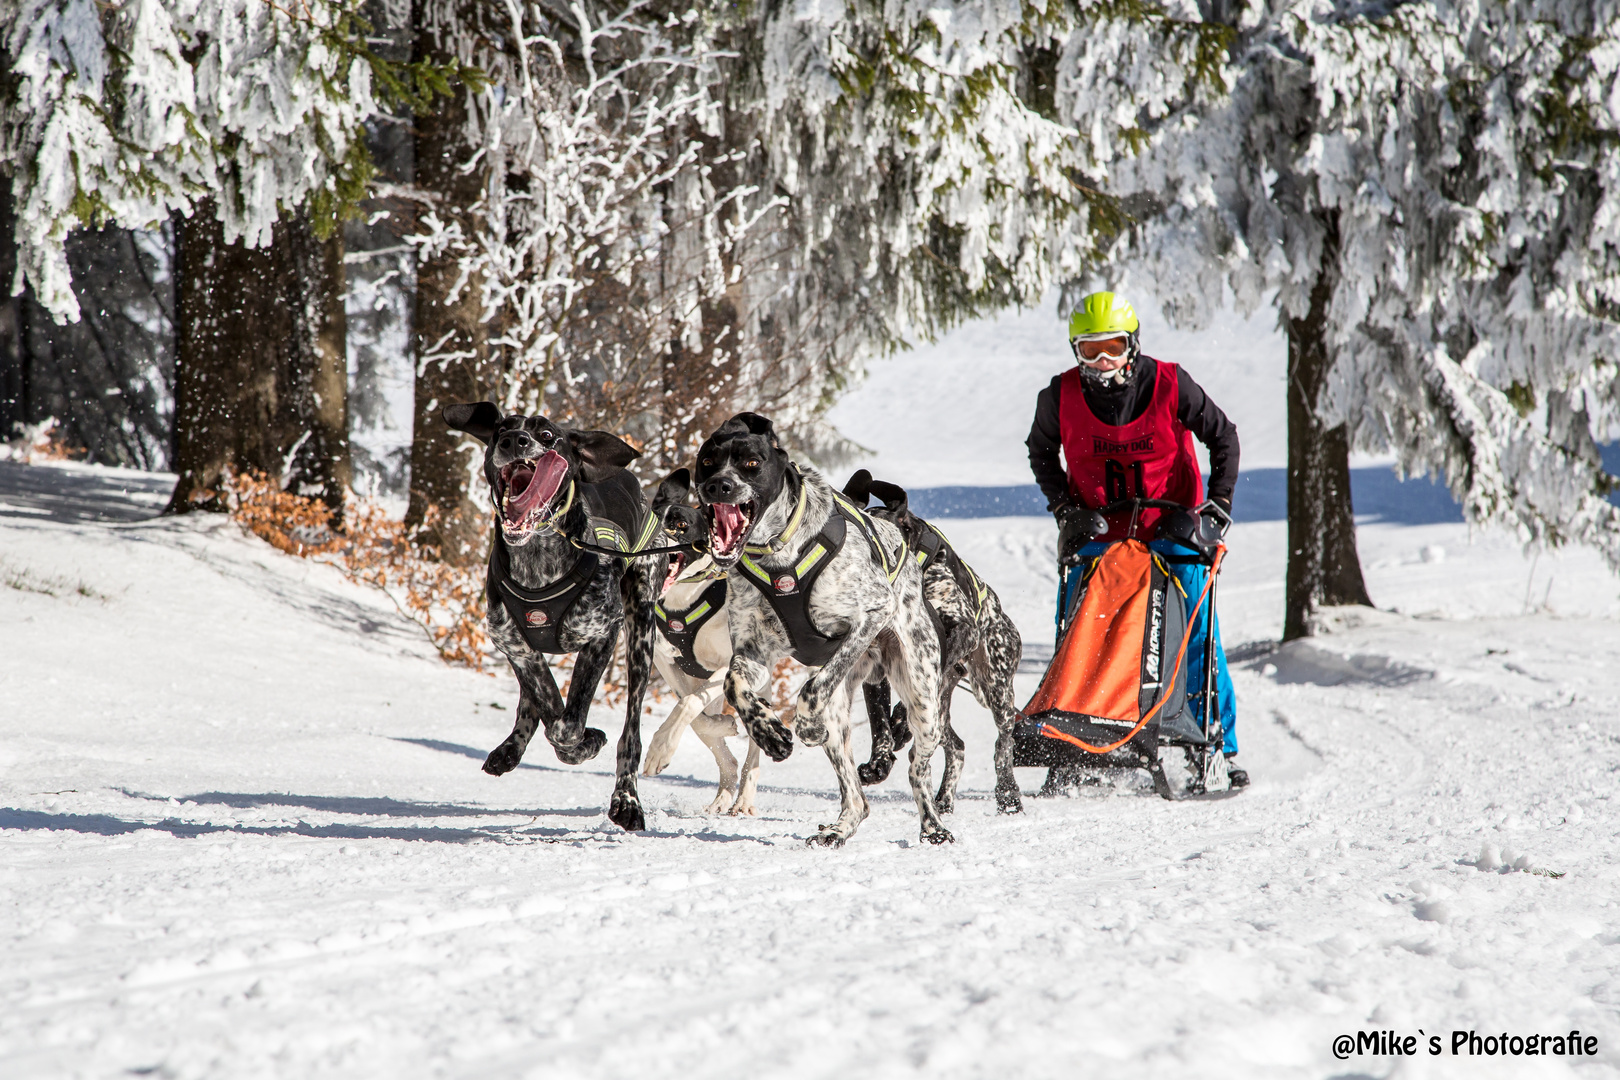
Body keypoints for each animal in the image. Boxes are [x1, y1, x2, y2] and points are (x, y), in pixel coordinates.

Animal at [440, 401, 660, 835]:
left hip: (641, 636)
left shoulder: (602, 635)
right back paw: (510, 748)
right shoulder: (514, 645)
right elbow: (546, 702)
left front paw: (586, 742)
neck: (537, 557)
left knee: (631, 733)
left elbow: (566, 723)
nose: (514, 441)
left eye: (547, 436)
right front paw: (556, 737)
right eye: (501, 430)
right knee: (533, 702)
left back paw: (626, 800)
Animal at [638, 469, 764, 816]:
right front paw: (722, 725)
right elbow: (695, 715)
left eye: (680, 525)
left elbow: (689, 704)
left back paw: (744, 800)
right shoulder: (667, 664)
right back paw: (723, 796)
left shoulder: (730, 665)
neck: (683, 601)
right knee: (727, 757)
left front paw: (659, 749)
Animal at [693, 414, 946, 841]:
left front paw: (803, 725)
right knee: (857, 798)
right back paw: (839, 830)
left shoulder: (871, 613)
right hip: (843, 719)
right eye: (707, 462)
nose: (718, 486)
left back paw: (934, 826)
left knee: (917, 766)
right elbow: (734, 684)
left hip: (923, 699)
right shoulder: (753, 651)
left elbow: (812, 689)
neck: (778, 557)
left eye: (751, 463)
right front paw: (770, 732)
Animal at [848, 469, 1023, 816]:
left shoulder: (963, 631)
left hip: (997, 690)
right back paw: (943, 797)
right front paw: (879, 763)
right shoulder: (876, 668)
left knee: (1003, 743)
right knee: (956, 746)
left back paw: (1008, 793)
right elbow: (878, 723)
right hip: (946, 709)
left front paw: (899, 724)